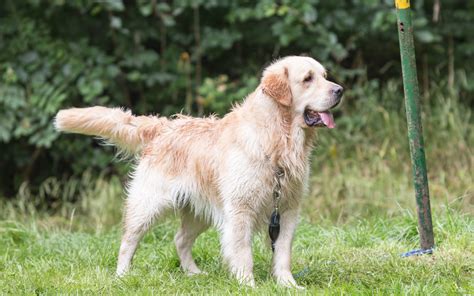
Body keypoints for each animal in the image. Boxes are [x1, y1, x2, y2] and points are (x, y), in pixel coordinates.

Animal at [54, 55, 344, 286]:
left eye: (324, 76)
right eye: (307, 79)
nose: (340, 90)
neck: (277, 140)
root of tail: (162, 127)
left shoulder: (287, 210)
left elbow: (282, 253)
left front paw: (288, 285)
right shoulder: (240, 210)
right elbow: (243, 252)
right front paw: (248, 285)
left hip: (200, 210)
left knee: (180, 239)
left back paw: (193, 273)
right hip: (148, 204)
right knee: (128, 240)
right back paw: (123, 275)